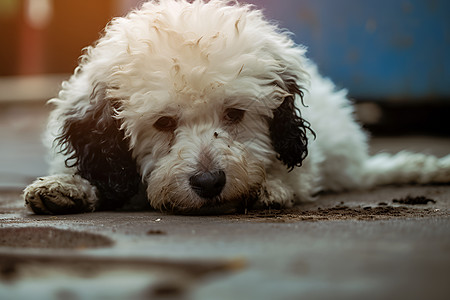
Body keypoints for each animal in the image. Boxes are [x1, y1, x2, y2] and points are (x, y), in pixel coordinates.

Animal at [23, 0, 450, 216]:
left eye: (234, 114)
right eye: (163, 122)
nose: (209, 183)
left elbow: (291, 176)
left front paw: (269, 188)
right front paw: (64, 186)